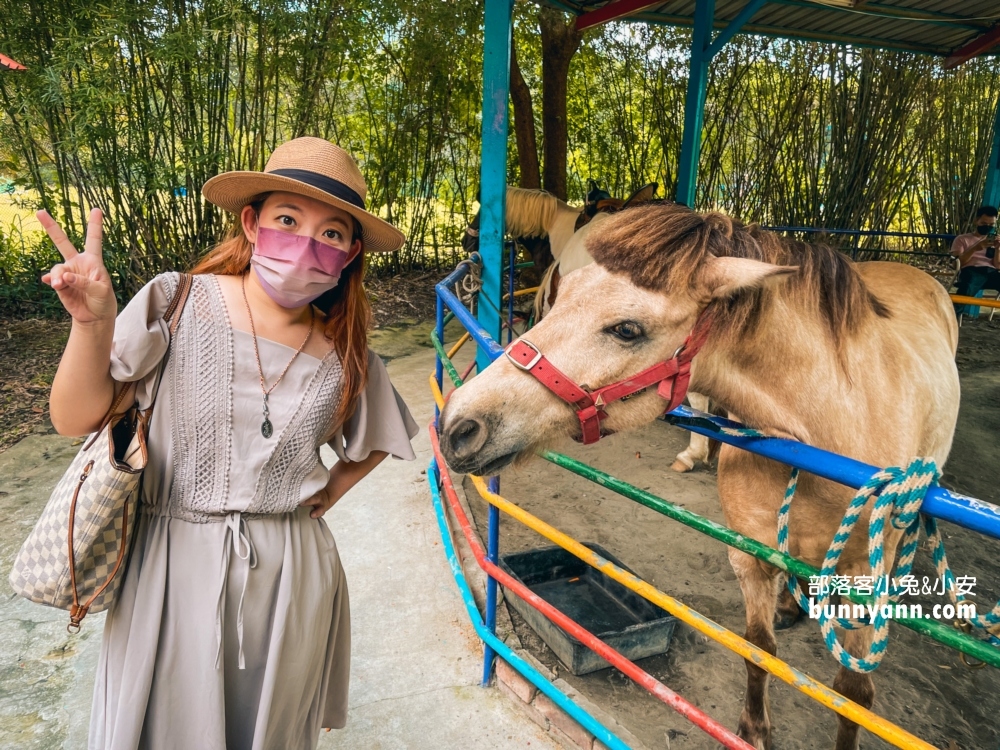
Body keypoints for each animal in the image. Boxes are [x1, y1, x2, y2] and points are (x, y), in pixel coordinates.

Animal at [438, 203, 960, 748]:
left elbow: (852, 695)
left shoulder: (863, 579)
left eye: (627, 329)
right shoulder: (750, 554)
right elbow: (758, 649)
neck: (824, 437)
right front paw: (753, 729)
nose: (459, 424)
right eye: (564, 293)